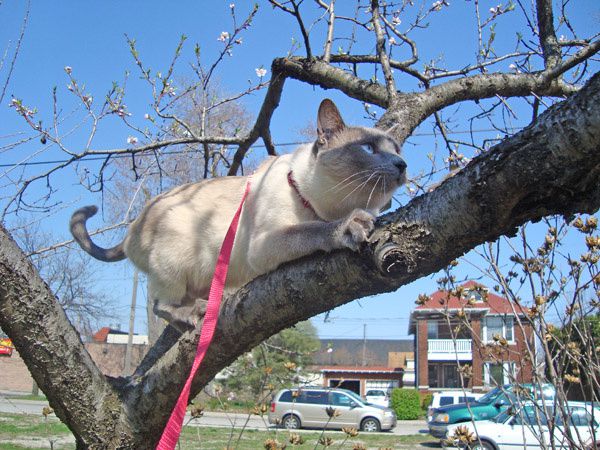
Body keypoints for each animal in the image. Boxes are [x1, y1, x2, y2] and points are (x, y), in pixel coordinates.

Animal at [71, 100, 408, 332]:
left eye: (397, 148)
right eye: (368, 148)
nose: (402, 164)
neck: (329, 205)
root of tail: (132, 227)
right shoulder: (265, 243)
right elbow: (315, 229)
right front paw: (351, 225)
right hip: (175, 255)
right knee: (159, 305)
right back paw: (192, 314)